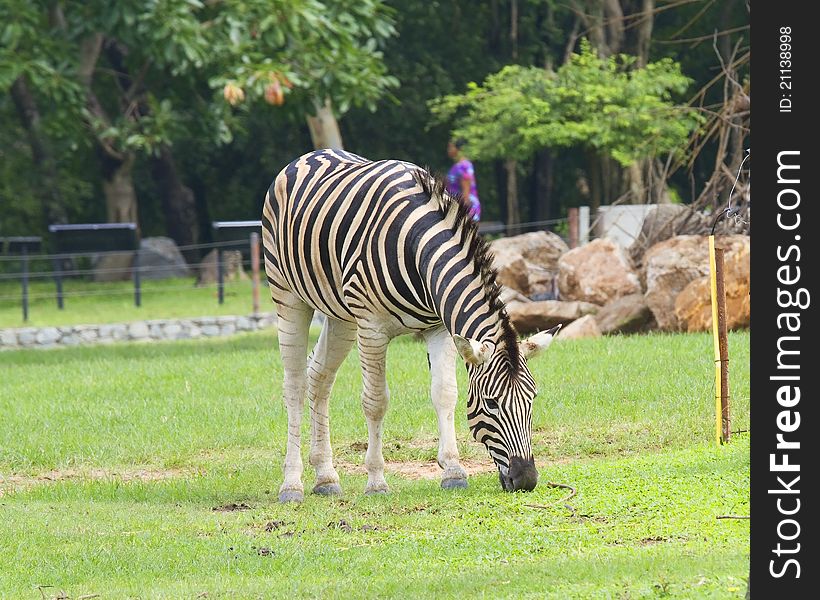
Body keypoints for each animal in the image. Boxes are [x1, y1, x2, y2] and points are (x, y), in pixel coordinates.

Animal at [260, 149, 560, 502]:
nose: (526, 479)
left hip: (341, 316)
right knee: (294, 386)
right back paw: (291, 484)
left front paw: (454, 472)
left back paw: (325, 477)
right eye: (491, 403)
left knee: (318, 377)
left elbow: (445, 393)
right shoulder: (372, 327)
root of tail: (312, 154)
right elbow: (375, 402)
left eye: (533, 398)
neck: (419, 248)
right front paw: (376, 481)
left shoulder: (440, 327)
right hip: (288, 295)